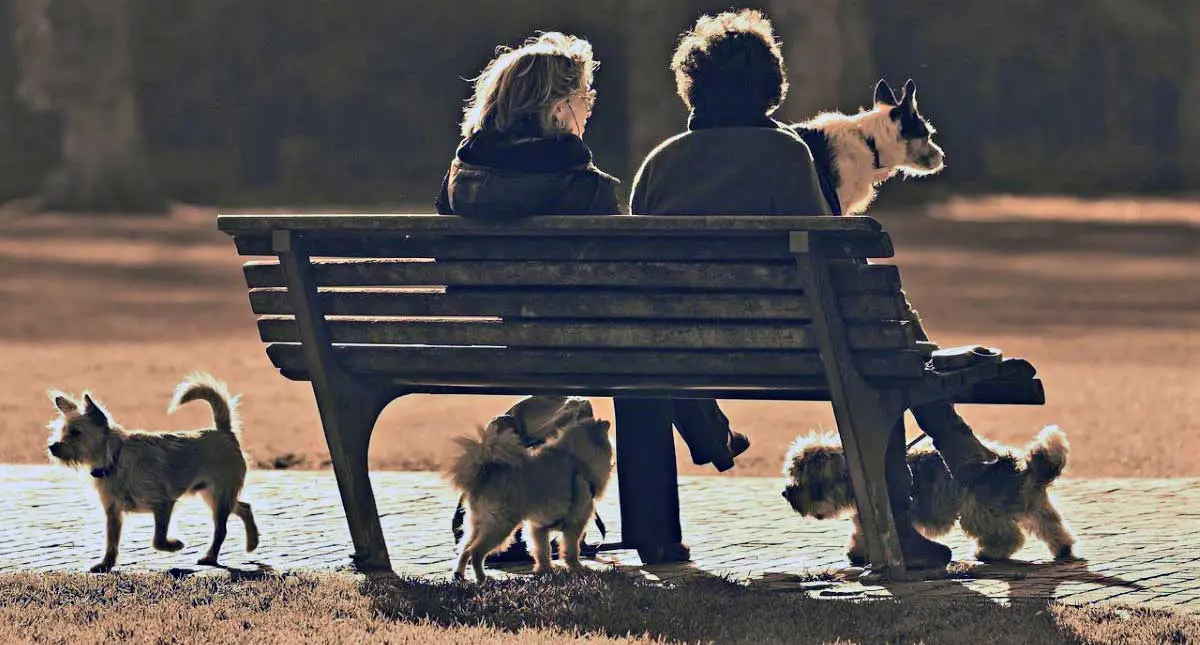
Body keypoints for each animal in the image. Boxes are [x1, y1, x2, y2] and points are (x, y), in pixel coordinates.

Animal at [46, 369, 258, 570]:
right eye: (62, 432)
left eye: (76, 433)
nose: (52, 447)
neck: (116, 458)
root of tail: (224, 432)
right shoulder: (113, 513)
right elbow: (111, 542)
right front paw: (106, 564)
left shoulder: (163, 504)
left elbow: (158, 540)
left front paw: (174, 545)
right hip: (212, 495)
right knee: (244, 507)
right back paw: (252, 543)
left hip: (219, 497)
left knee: (221, 529)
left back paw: (211, 556)